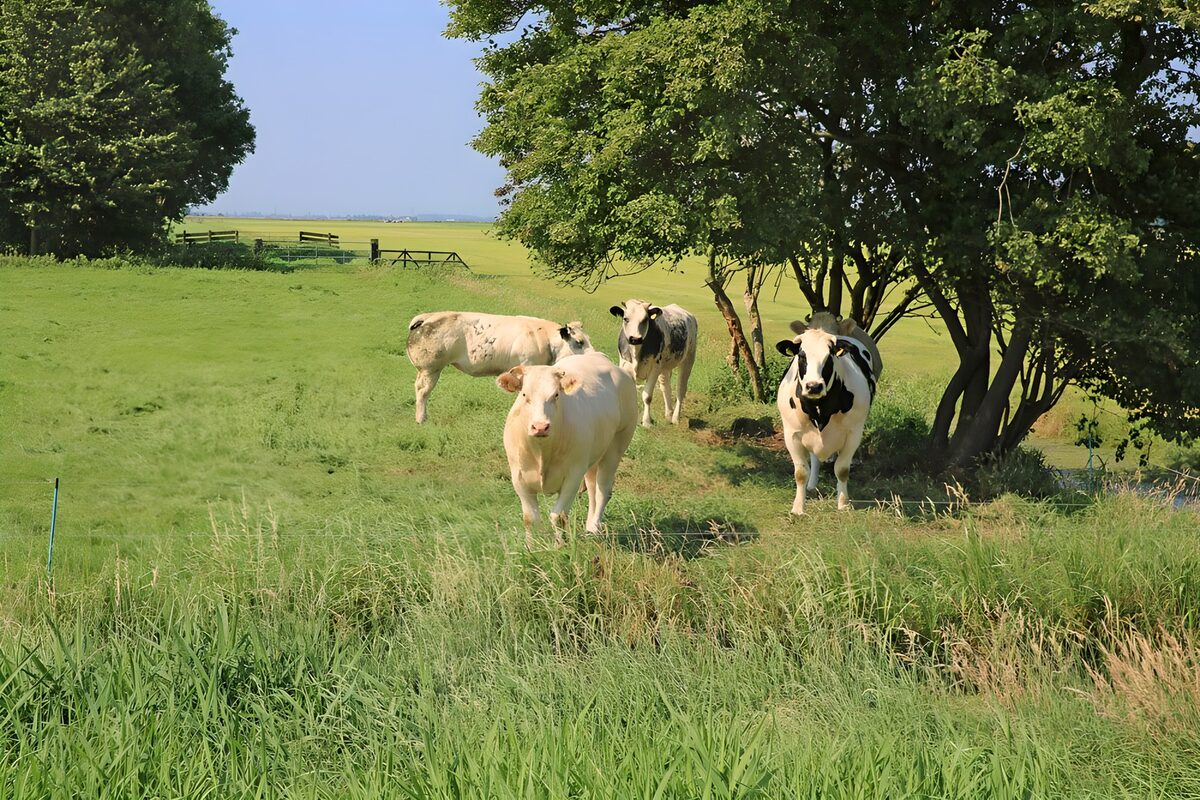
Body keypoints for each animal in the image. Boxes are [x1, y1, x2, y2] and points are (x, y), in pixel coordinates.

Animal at [406, 311, 594, 423]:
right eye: (579, 342)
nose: (594, 355)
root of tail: (428, 317)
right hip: (430, 369)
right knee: (423, 392)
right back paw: (421, 419)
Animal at [496, 352, 639, 544]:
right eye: (524, 394)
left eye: (556, 395)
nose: (540, 427)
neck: (542, 451)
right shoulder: (518, 477)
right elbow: (530, 518)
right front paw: (531, 547)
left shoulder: (573, 475)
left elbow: (558, 516)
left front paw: (560, 545)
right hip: (593, 454)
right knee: (592, 488)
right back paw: (590, 528)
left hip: (617, 445)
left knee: (603, 490)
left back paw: (595, 526)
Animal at [776, 325, 877, 514]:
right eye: (802, 356)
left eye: (828, 357)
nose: (813, 386)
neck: (820, 409)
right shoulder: (791, 434)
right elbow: (801, 473)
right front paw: (798, 508)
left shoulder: (854, 433)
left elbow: (842, 469)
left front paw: (843, 503)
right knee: (815, 458)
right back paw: (811, 485)